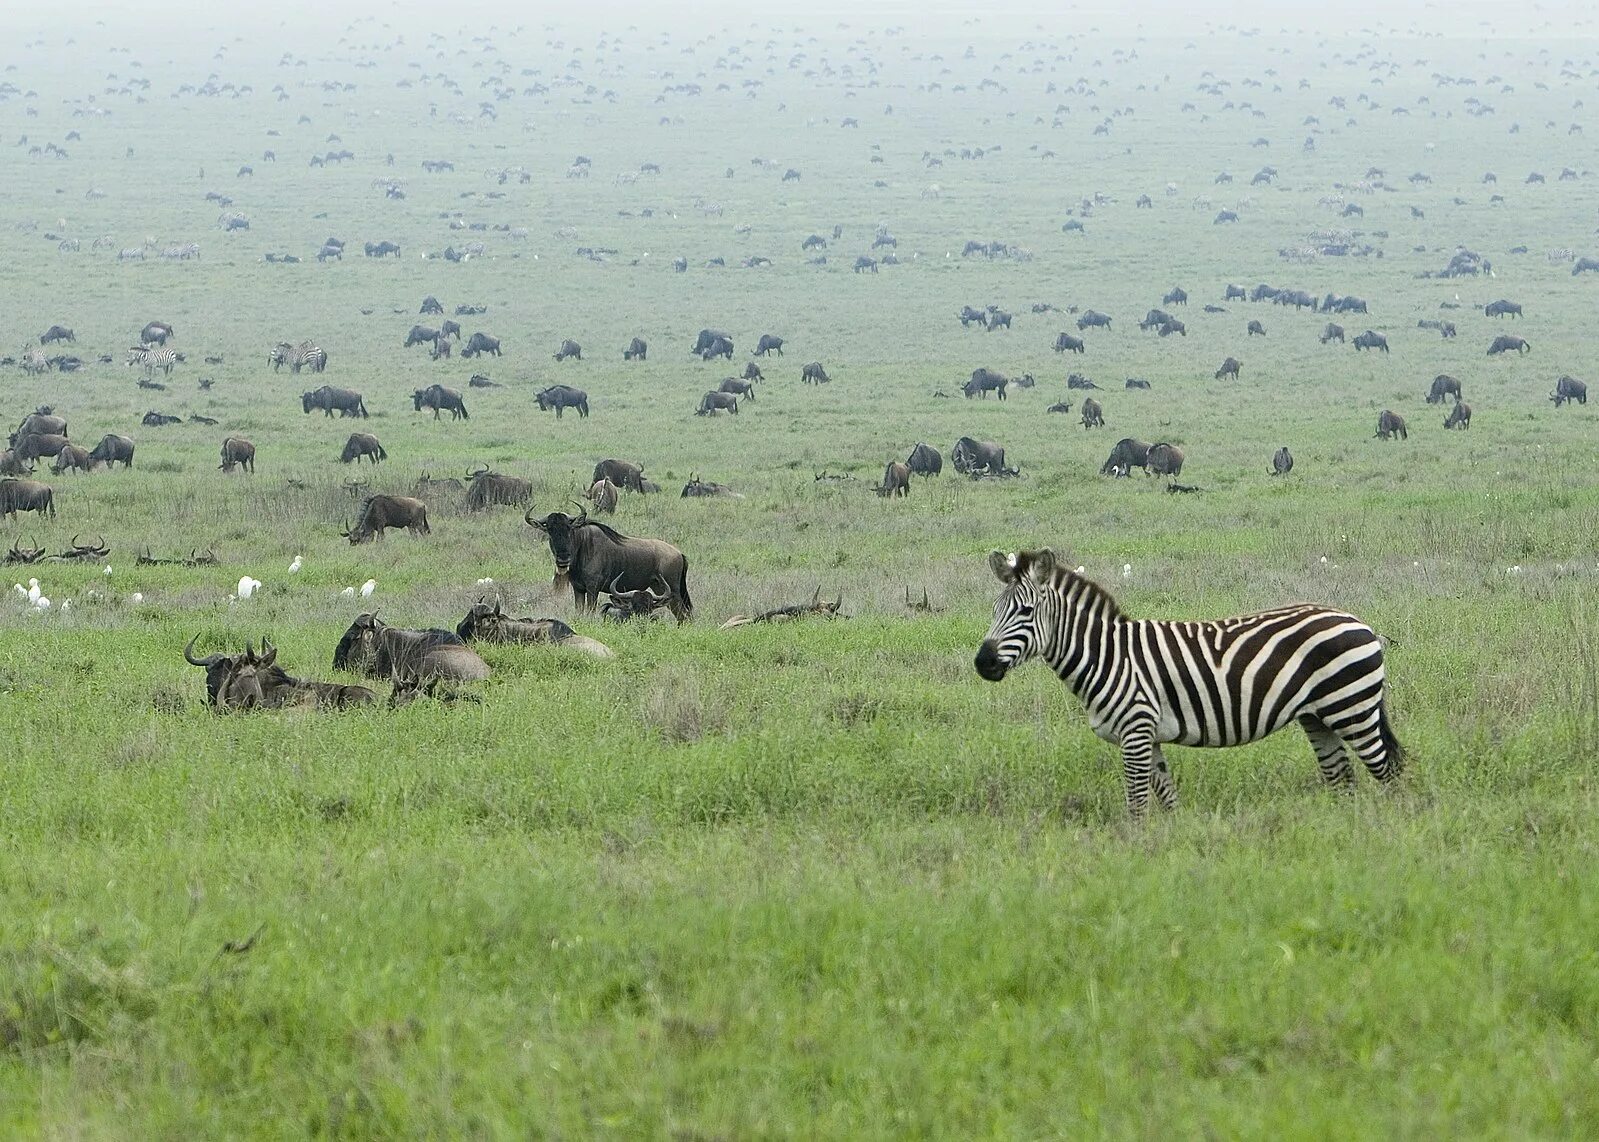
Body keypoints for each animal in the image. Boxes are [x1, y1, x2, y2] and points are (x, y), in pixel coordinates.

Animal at [972, 547, 1400, 812]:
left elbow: (1137, 804)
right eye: (994, 610)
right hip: (1318, 717)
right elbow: (1166, 799)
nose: (982, 663)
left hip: (1352, 708)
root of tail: (1360, 622)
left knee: (1389, 774)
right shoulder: (1148, 736)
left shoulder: (1136, 730)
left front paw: (1134, 852)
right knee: (1343, 779)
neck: (1107, 656)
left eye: (1026, 612)